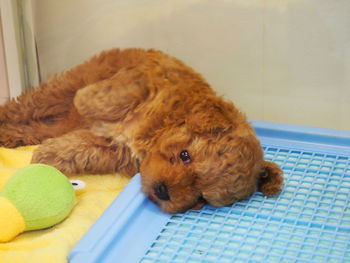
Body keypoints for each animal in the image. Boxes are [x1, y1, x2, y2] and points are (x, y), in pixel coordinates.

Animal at [0, 48, 284, 214]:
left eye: (201, 197)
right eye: (185, 155)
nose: (163, 192)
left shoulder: (114, 150)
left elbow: (82, 149)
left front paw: (47, 155)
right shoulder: (145, 79)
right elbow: (109, 96)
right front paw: (88, 101)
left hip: (55, 120)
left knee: (39, 126)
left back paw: (11, 135)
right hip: (64, 87)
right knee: (27, 105)